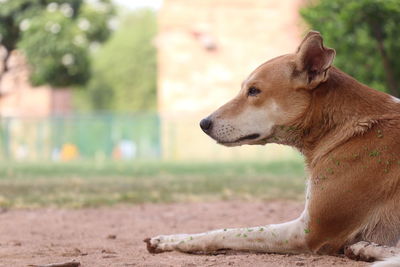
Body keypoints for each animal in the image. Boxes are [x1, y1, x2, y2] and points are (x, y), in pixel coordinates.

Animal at [145, 30, 400, 266]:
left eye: (254, 91)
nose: (203, 123)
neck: (344, 126)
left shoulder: (308, 232)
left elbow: (226, 232)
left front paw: (175, 241)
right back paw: (365, 249)